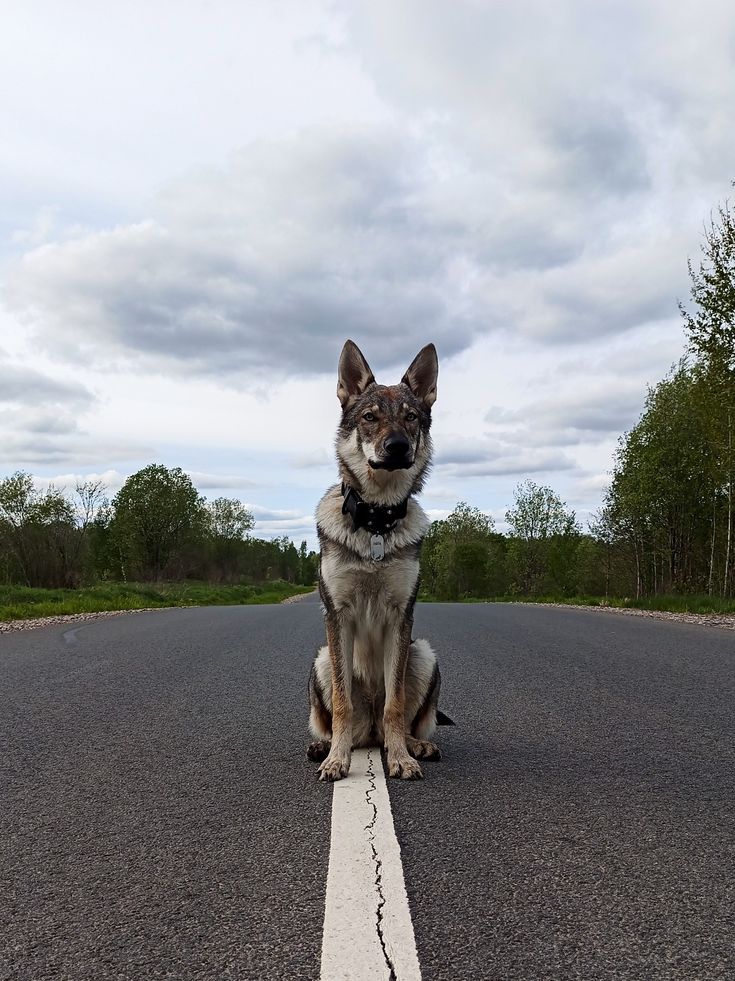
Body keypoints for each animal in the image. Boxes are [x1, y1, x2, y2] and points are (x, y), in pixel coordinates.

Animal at [304, 336, 448, 780]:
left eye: (411, 418)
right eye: (370, 417)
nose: (397, 446)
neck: (376, 524)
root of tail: (368, 736)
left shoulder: (402, 616)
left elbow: (396, 705)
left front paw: (401, 758)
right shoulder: (338, 616)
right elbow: (342, 703)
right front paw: (336, 760)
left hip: (423, 654)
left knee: (396, 723)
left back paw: (415, 745)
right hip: (321, 659)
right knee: (344, 722)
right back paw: (327, 746)